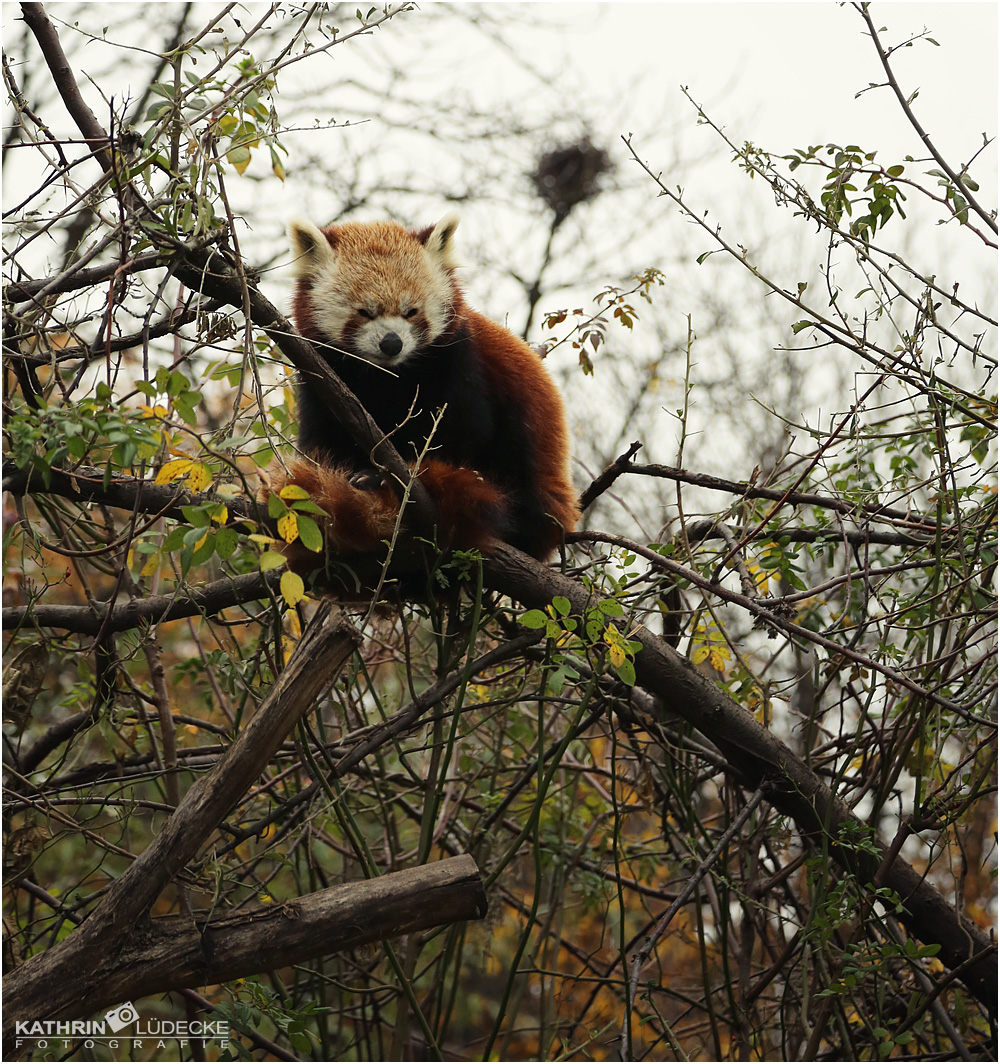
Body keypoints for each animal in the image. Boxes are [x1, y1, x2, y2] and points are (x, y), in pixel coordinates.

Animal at [269, 210, 578, 570]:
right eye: (365, 312)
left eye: (411, 311)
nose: (392, 343)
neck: (387, 376)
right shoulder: (320, 377)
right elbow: (322, 442)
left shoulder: (458, 364)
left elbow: (464, 433)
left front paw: (385, 476)